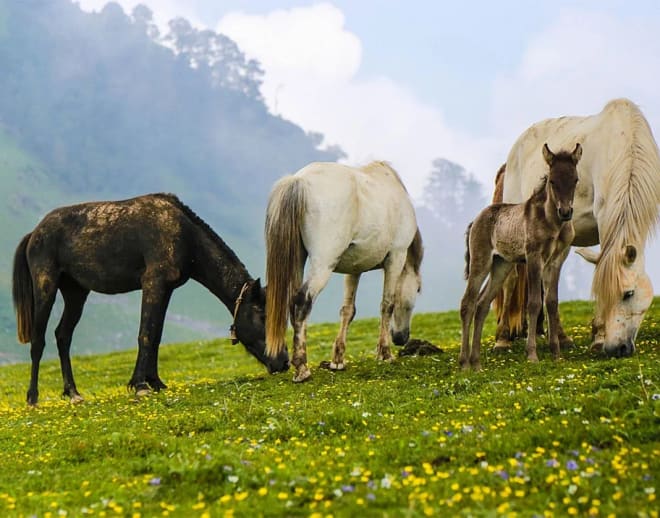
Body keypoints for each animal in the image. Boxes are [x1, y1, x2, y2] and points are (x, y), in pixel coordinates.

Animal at [12, 194, 288, 406]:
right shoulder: (153, 283)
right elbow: (145, 333)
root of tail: (34, 233)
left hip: (76, 292)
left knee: (63, 335)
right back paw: (33, 398)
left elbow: (156, 335)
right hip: (46, 287)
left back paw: (73, 393)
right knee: (38, 340)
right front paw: (141, 385)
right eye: (262, 315)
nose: (284, 361)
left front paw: (155, 382)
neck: (184, 235)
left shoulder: (166, 289)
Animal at [262, 162, 422, 386]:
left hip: (298, 260)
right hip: (323, 265)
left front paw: (337, 360)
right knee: (302, 302)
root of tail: (299, 181)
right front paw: (385, 354)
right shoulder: (396, 258)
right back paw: (302, 369)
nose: (402, 338)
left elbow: (348, 311)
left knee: (293, 306)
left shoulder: (355, 269)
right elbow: (387, 305)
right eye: (418, 289)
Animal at [458, 142, 584, 370]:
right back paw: (464, 364)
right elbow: (533, 303)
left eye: (575, 179)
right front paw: (532, 354)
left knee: (482, 305)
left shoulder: (556, 261)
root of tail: (475, 220)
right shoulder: (534, 258)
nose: (565, 212)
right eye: (552, 181)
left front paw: (556, 353)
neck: (552, 222)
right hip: (481, 262)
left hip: (501, 266)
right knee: (468, 303)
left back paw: (477, 364)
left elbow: (552, 302)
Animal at [496, 98, 660, 358]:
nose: (617, 348)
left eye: (628, 293)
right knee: (511, 279)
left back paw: (561, 338)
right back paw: (502, 339)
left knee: (547, 282)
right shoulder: (604, 218)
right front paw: (599, 337)